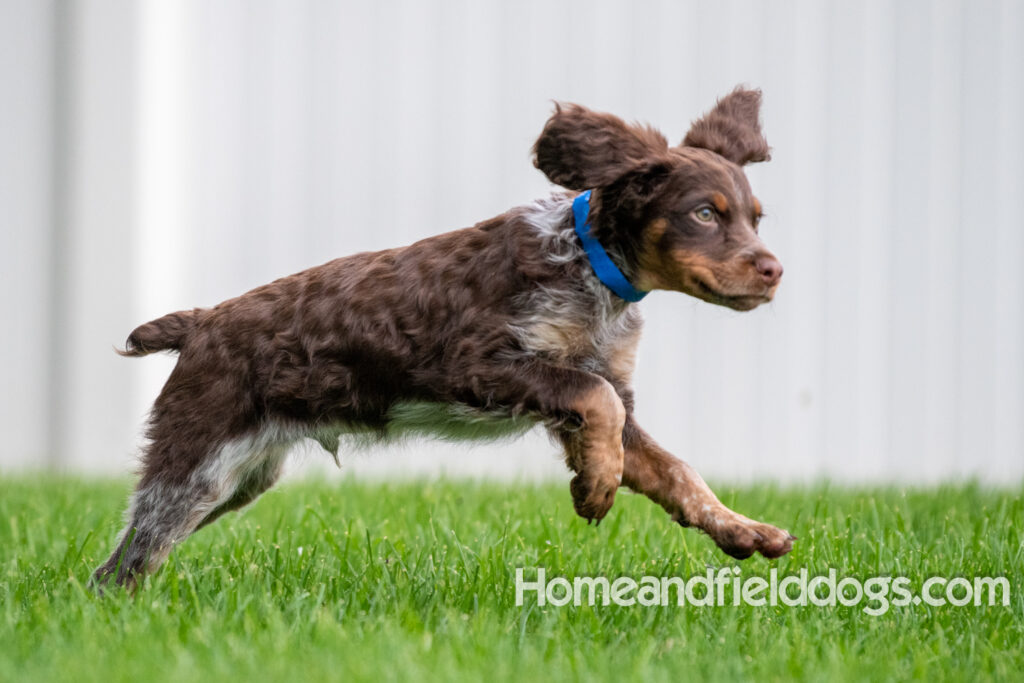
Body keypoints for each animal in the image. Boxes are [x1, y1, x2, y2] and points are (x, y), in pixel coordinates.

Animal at [94, 83, 790, 589]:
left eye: (756, 219)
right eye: (705, 214)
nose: (774, 270)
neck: (592, 267)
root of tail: (202, 321)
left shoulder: (605, 389)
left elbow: (674, 469)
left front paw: (741, 530)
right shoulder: (478, 363)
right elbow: (596, 401)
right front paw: (595, 491)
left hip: (241, 477)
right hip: (197, 467)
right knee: (127, 560)